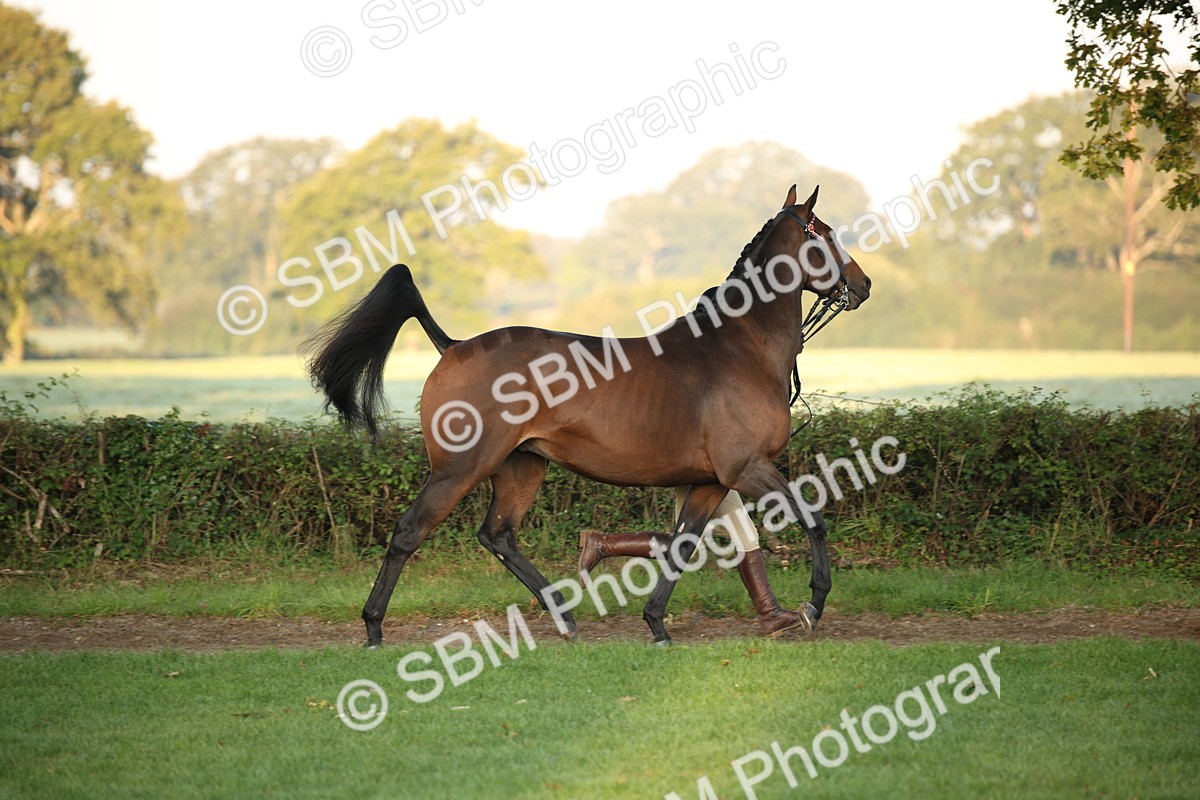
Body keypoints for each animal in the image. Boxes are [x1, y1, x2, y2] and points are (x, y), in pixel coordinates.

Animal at [305, 185, 871, 646]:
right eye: (825, 235)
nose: (862, 285)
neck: (739, 348)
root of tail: (455, 345)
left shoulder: (712, 481)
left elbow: (683, 544)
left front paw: (657, 623)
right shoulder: (748, 467)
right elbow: (813, 519)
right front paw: (813, 603)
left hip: (522, 465)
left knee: (498, 534)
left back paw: (564, 615)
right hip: (460, 468)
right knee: (409, 532)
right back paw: (374, 627)